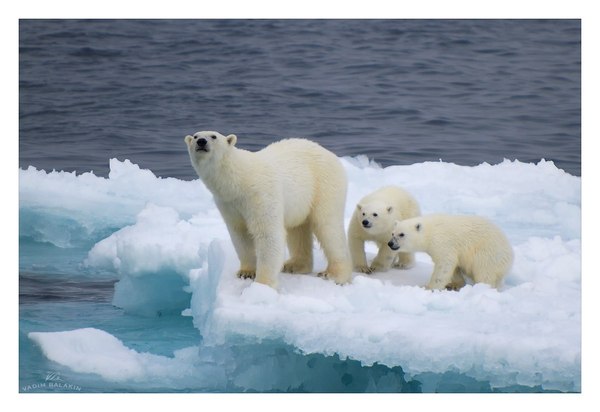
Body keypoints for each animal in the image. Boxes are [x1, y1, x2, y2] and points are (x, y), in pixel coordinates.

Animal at [183, 130, 352, 288]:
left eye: (213, 136)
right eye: (195, 136)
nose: (201, 141)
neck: (238, 180)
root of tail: (331, 154)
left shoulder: (260, 195)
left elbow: (268, 234)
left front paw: (263, 284)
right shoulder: (229, 203)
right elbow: (240, 234)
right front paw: (246, 272)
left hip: (324, 184)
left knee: (328, 227)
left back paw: (334, 274)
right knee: (298, 229)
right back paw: (294, 265)